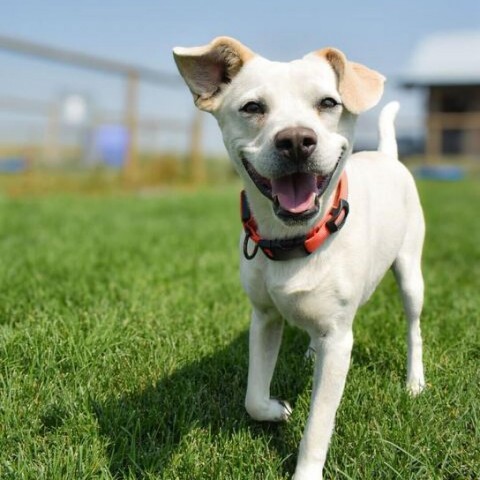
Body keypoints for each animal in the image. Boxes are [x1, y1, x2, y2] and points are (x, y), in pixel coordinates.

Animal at [172, 35, 424, 478]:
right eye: (253, 107)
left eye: (328, 102)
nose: (294, 140)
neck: (293, 242)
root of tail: (388, 155)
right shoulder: (264, 318)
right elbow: (253, 399)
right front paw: (276, 410)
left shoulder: (339, 340)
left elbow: (318, 426)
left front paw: (306, 469)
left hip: (410, 272)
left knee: (413, 325)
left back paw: (414, 381)